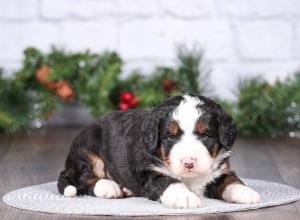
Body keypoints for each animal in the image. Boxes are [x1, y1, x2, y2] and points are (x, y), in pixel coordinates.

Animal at [57, 93, 258, 209]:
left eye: (205, 135)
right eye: (170, 137)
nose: (189, 162)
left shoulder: (218, 170)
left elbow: (230, 179)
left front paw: (245, 191)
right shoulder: (148, 170)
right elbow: (166, 180)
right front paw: (184, 196)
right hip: (88, 149)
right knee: (82, 179)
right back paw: (108, 186)